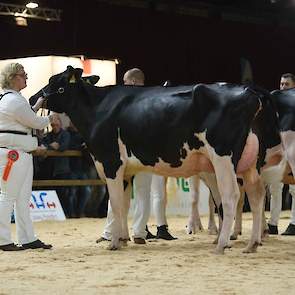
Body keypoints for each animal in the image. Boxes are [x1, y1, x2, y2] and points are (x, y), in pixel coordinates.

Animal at [30, 66, 270, 254]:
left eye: (54, 81)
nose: (32, 98)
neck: (97, 109)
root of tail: (249, 92)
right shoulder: (126, 171)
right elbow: (124, 204)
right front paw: (124, 239)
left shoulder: (111, 162)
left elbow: (115, 204)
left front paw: (114, 243)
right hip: (250, 163)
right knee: (257, 194)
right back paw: (251, 244)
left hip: (222, 157)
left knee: (231, 196)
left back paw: (221, 245)